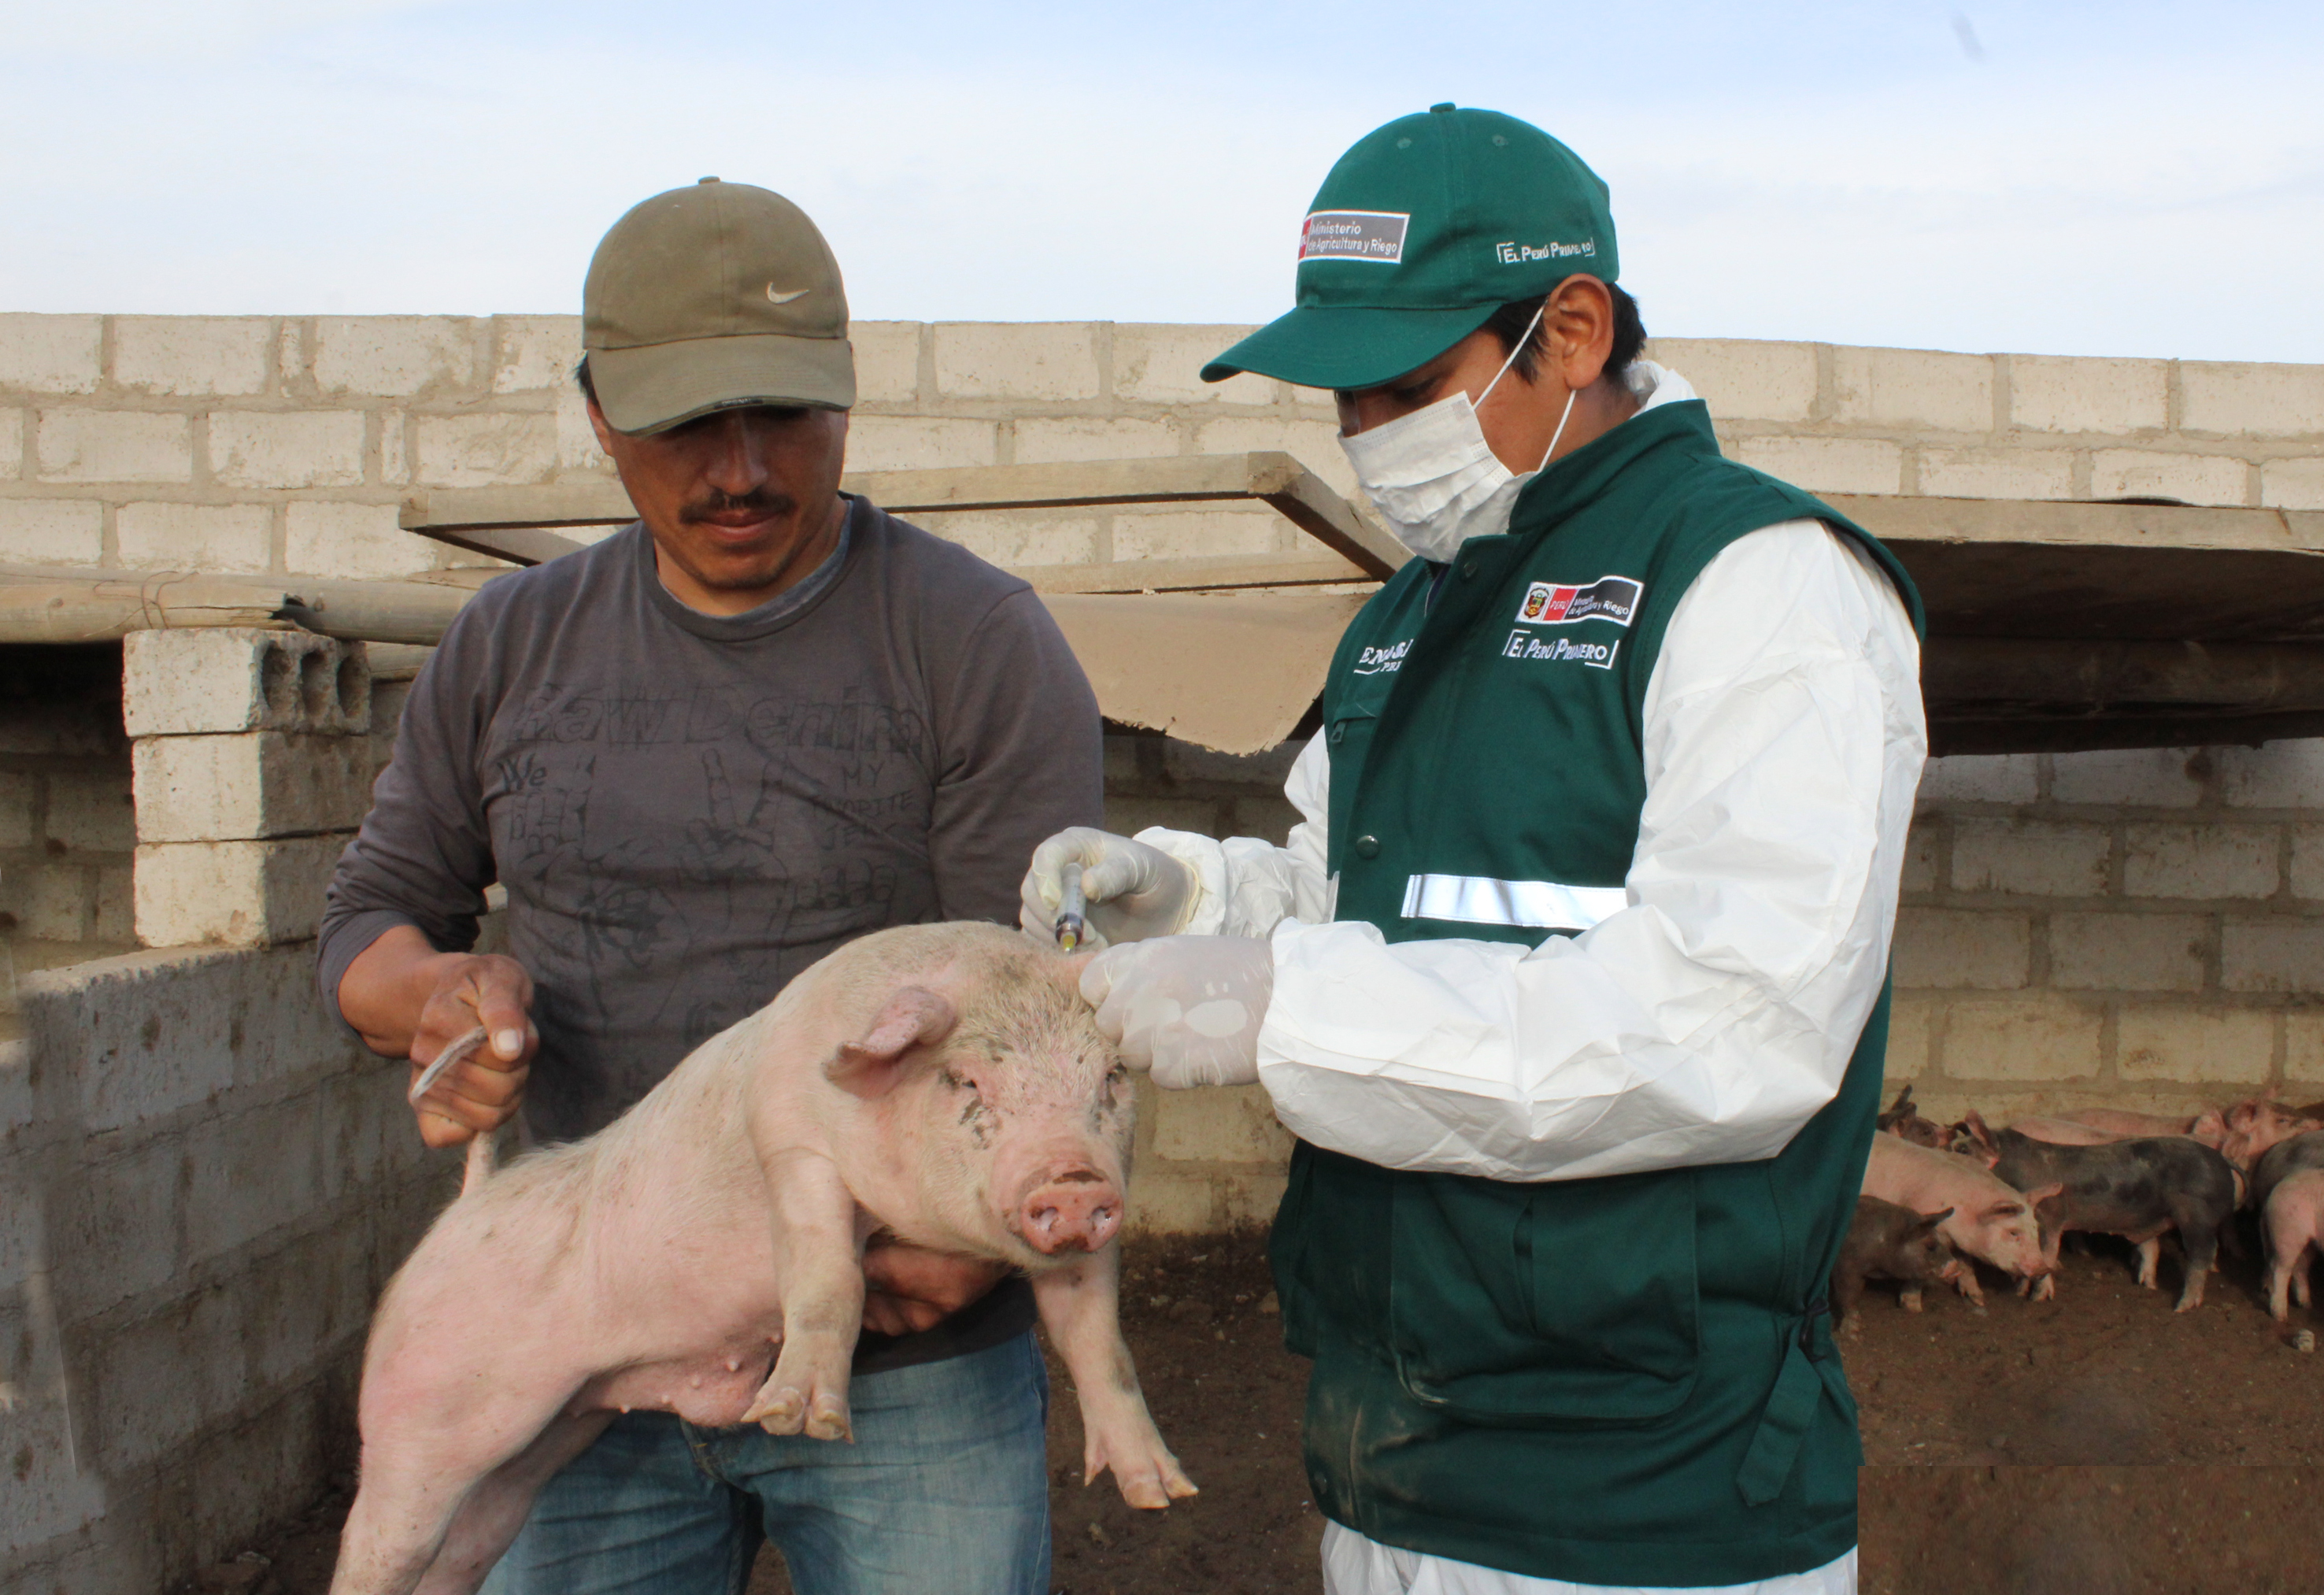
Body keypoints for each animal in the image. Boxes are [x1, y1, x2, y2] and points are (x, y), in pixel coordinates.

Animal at [332, 925, 1199, 1595]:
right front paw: (797, 1419)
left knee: (464, 1549)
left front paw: (1162, 1493)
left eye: (1111, 1078)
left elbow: (1099, 1342)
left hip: (535, 1449)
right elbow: (827, 1281)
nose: (1074, 1181)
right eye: (965, 1079)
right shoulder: (792, 1141)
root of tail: (467, 1205)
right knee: (374, 1542)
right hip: (416, 1418)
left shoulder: (1090, 1239)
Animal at [1831, 1199, 1961, 1339]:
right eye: (1930, 1245)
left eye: (1943, 1241)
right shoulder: (1846, 1267)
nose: (1957, 1269)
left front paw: (1915, 1311)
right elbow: (1848, 1296)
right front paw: (1853, 1335)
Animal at [1859, 1130, 2063, 1301]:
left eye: (2036, 1230)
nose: (2043, 1269)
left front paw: (1978, 1299)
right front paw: (1912, 1306)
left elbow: (1966, 1264)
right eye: (2013, 1232)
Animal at [1961, 1111, 2230, 1311]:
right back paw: (2147, 1286)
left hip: (2198, 1216)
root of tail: (2221, 1161)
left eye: (1963, 1151)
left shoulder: (2049, 1217)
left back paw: (2182, 1307)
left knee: (2201, 1256)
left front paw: (2038, 1299)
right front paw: (2019, 1293)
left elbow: (2046, 1256)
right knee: (2152, 1249)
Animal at [2249, 1139, 2324, 1320]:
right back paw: (2280, 1316)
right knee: (2280, 1268)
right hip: (2287, 1230)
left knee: (2300, 1266)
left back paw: (2306, 1305)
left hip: (2307, 1239)